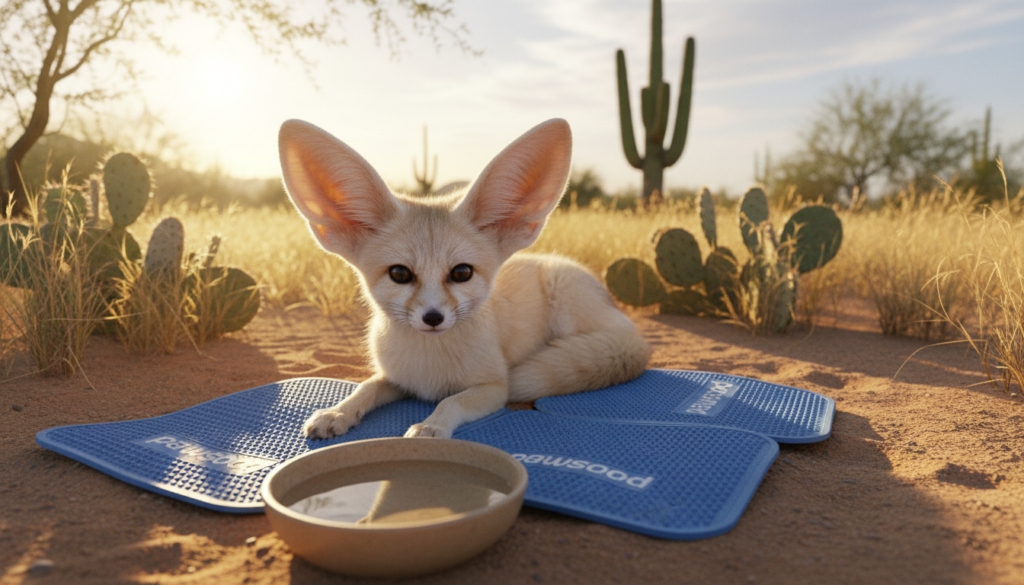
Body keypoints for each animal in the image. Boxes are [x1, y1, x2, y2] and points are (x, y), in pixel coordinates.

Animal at [278, 118, 650, 440]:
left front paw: (430, 426)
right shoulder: (395, 378)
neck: (430, 365)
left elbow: (450, 400)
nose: (433, 318)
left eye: (461, 273)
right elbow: (366, 387)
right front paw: (337, 413)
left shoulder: (493, 387)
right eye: (400, 274)